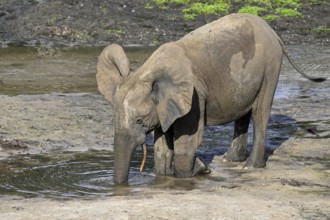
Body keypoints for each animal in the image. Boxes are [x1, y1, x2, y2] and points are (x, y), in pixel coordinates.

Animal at [96, 12, 324, 184]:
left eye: (139, 120)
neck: (147, 71)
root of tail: (274, 33)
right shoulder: (164, 106)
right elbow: (162, 148)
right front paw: (175, 172)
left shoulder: (195, 97)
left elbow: (185, 144)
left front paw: (198, 169)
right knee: (243, 113)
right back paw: (230, 160)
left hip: (271, 66)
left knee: (260, 112)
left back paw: (249, 166)